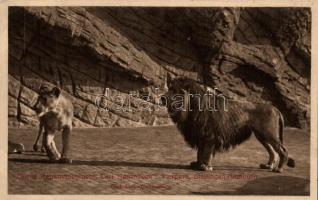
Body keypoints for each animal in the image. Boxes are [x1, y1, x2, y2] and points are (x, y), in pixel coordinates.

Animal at [164, 77, 296, 173]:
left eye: (176, 91)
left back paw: (279, 169)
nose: (162, 98)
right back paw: (268, 166)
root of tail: (275, 109)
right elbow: (200, 152)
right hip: (261, 136)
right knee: (273, 152)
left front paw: (206, 166)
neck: (194, 107)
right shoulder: (200, 134)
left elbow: (207, 152)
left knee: (282, 151)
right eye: (169, 88)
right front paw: (197, 164)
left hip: (269, 134)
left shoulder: (210, 135)